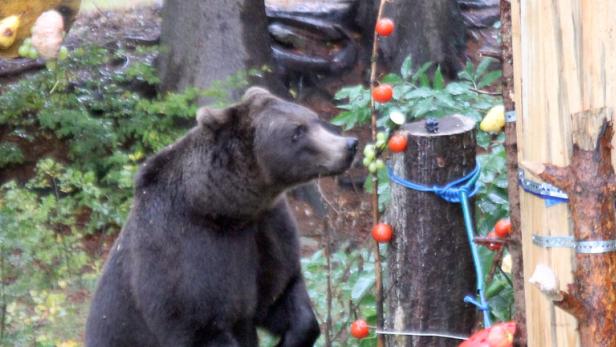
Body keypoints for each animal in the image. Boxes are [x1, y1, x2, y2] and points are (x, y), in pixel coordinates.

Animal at [84, 87, 358, 347]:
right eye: (297, 132)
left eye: (313, 119)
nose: (349, 145)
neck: (225, 210)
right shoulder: (180, 251)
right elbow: (197, 321)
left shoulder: (266, 228)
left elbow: (280, 293)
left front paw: (292, 336)